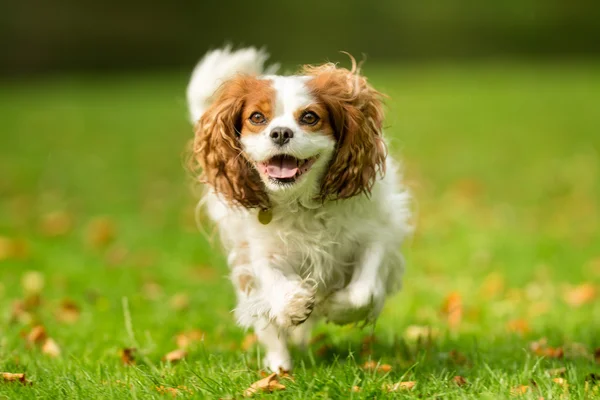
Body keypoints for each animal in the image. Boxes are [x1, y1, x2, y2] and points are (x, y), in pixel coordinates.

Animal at [188, 47, 412, 376]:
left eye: (309, 117)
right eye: (257, 117)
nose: (281, 132)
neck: (299, 201)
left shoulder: (375, 236)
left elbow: (364, 290)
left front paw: (335, 307)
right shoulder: (258, 250)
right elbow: (273, 281)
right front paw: (294, 304)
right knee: (269, 329)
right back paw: (279, 369)